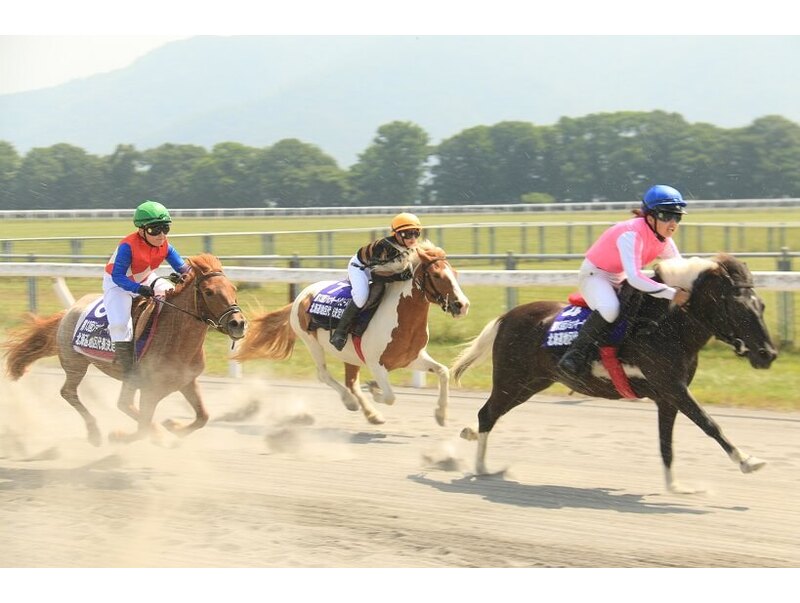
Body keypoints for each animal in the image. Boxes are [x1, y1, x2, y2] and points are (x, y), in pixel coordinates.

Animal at [3, 252, 245, 446]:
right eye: (209, 292)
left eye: (233, 288)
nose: (238, 323)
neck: (175, 336)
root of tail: (68, 311)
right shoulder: (148, 389)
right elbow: (142, 424)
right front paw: (127, 435)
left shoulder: (186, 381)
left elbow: (203, 417)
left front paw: (172, 425)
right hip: (76, 364)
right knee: (72, 393)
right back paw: (95, 432)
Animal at [234, 241, 468, 424]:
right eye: (436, 275)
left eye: (455, 274)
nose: (462, 305)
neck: (399, 317)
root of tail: (302, 295)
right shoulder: (376, 364)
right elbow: (390, 396)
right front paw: (374, 389)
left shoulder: (410, 359)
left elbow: (443, 372)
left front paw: (441, 415)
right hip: (312, 343)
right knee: (324, 375)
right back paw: (350, 402)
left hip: (350, 355)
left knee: (351, 382)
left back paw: (372, 414)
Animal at [454, 252, 780, 494]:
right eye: (738, 309)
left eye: (762, 305)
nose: (768, 354)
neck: (667, 325)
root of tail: (506, 316)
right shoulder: (673, 388)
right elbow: (710, 424)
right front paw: (748, 461)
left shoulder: (667, 397)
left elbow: (666, 443)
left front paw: (675, 486)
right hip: (512, 380)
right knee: (487, 414)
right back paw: (482, 467)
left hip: (531, 383)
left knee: (492, 415)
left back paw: (470, 435)